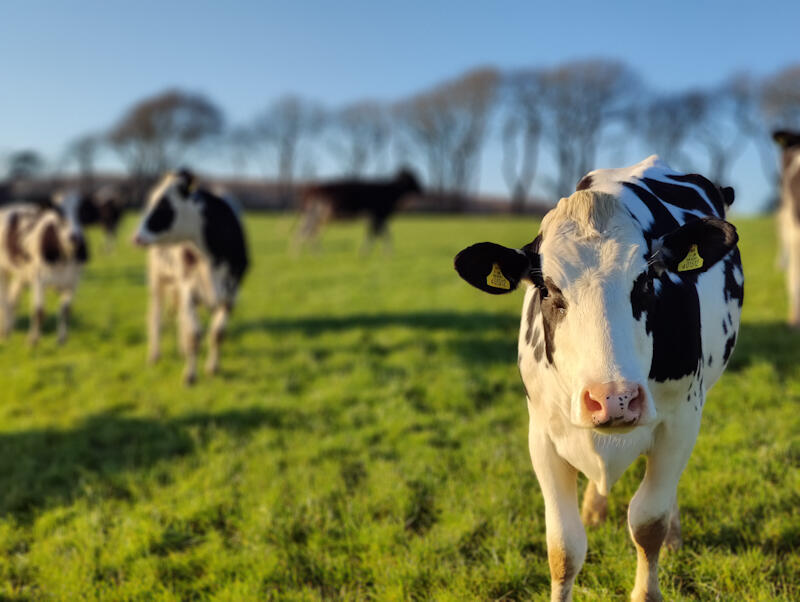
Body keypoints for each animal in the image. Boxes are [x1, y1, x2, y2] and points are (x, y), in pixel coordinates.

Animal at [0, 190, 89, 344]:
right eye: (59, 211)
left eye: (82, 211)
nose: (73, 236)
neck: (63, 258)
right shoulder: (39, 280)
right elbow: (39, 311)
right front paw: (33, 340)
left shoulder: (73, 282)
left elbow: (66, 310)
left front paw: (62, 339)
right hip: (3, 270)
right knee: (4, 301)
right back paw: (5, 332)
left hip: (22, 274)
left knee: (13, 299)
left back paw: (9, 329)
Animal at [133, 169, 248, 384]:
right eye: (151, 201)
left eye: (164, 205)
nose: (136, 236)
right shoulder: (189, 289)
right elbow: (195, 335)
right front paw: (190, 376)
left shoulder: (231, 294)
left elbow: (217, 334)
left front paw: (213, 368)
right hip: (157, 277)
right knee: (156, 315)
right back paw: (155, 354)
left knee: (180, 318)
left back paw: (180, 349)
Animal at [456, 156, 744, 600]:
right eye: (547, 289)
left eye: (646, 281)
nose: (614, 399)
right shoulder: (542, 433)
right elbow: (563, 546)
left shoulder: (681, 421)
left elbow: (648, 522)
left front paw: (648, 585)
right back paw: (594, 507)